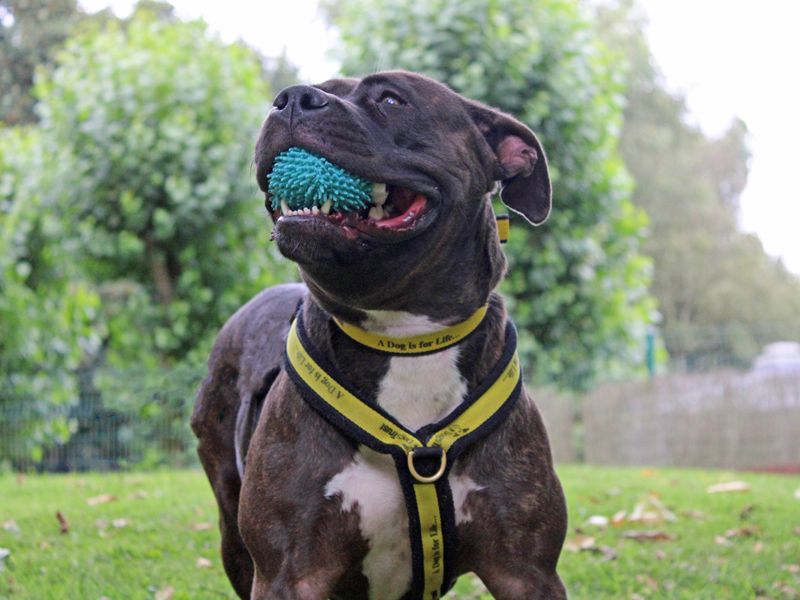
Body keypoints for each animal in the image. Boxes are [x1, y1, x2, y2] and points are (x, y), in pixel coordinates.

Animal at [192, 71, 568, 600]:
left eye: (391, 100)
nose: (292, 98)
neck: (405, 337)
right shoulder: (290, 572)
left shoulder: (527, 570)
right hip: (232, 525)